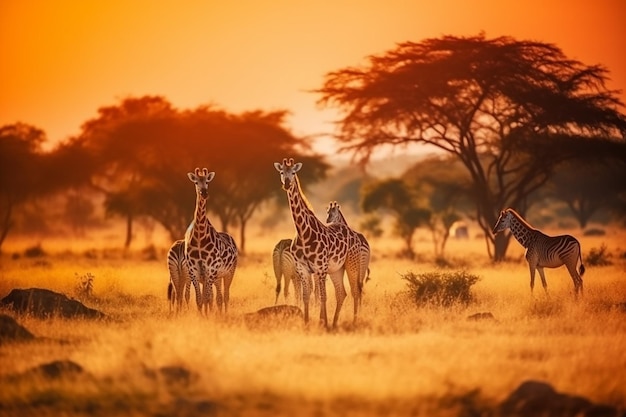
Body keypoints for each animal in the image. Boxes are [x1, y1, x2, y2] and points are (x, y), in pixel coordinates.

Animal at [184, 167, 238, 314]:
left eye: (207, 181)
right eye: (196, 182)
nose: (204, 193)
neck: (199, 238)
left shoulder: (210, 269)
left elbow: (207, 298)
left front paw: (207, 317)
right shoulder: (194, 271)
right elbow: (200, 300)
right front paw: (202, 317)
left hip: (228, 272)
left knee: (225, 296)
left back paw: (224, 315)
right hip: (216, 276)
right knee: (218, 297)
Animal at [272, 158, 356, 326]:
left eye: (294, 172)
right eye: (281, 172)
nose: (287, 184)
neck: (303, 234)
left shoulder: (320, 268)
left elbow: (322, 296)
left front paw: (323, 322)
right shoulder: (302, 269)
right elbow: (306, 296)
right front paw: (306, 322)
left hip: (349, 264)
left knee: (352, 290)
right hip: (336, 269)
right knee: (341, 293)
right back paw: (335, 322)